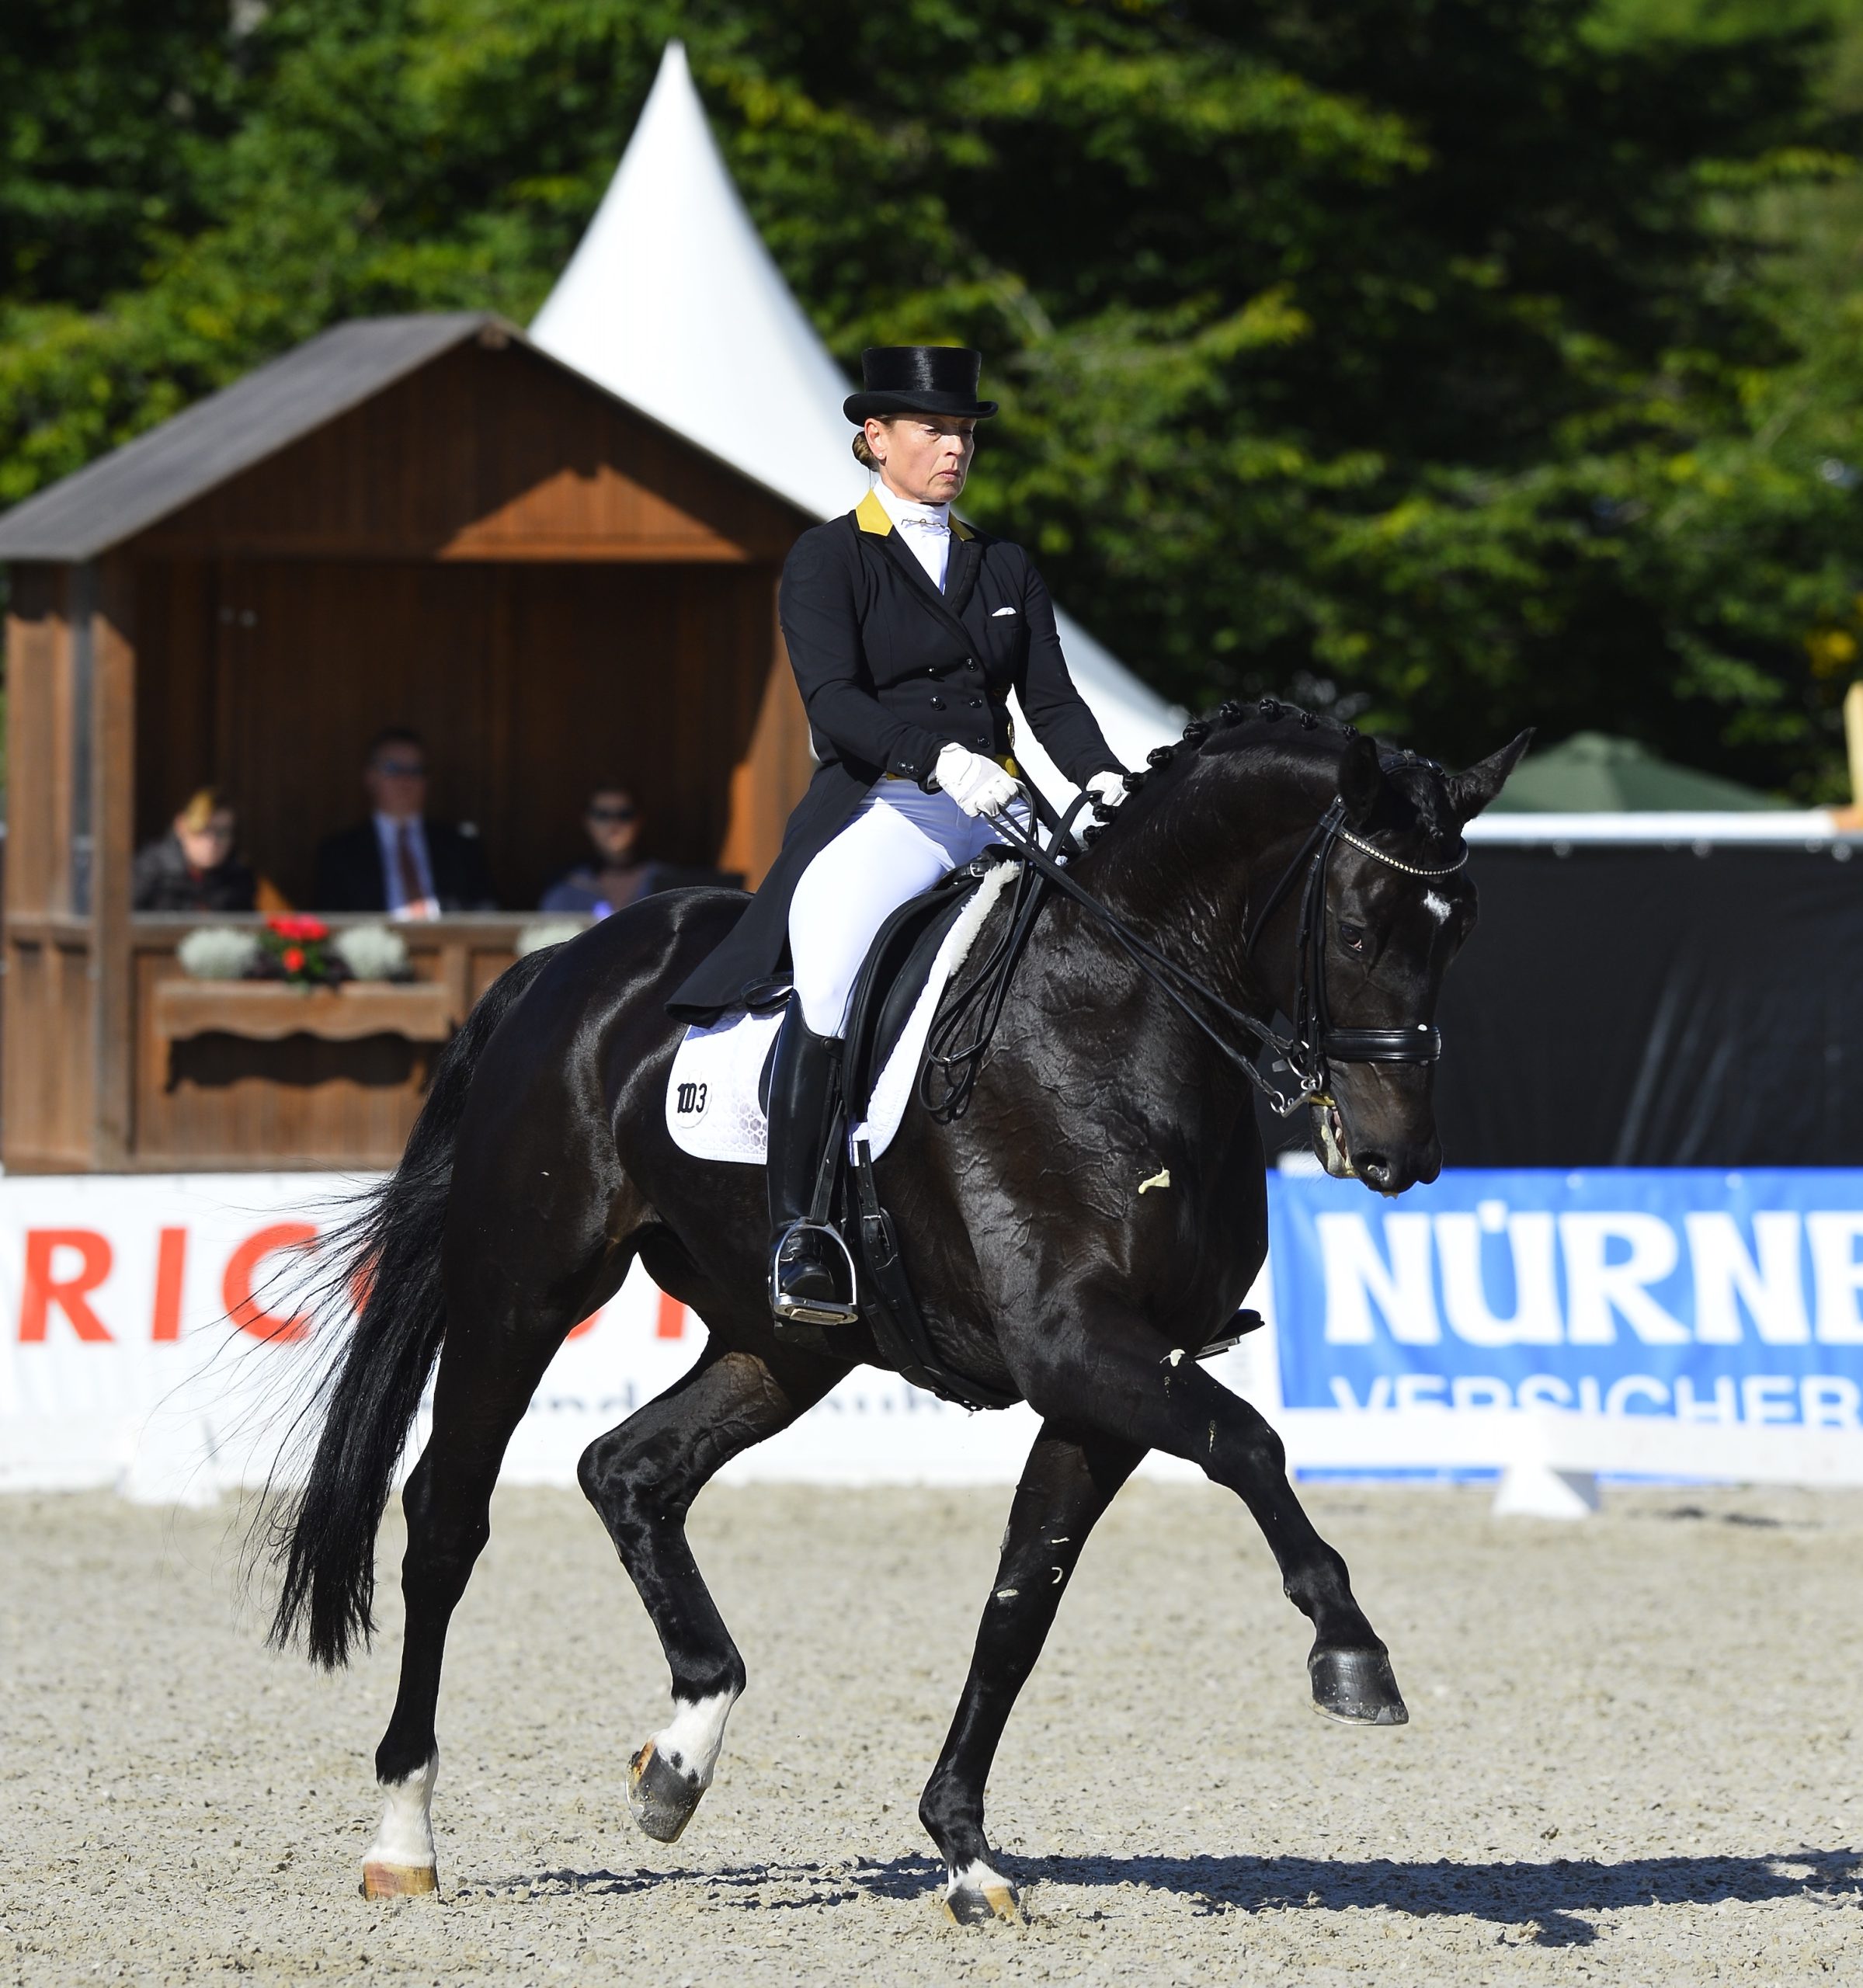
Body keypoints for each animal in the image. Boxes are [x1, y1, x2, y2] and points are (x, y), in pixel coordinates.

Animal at [268, 707, 1519, 1916]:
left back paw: (679, 1758)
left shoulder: (1107, 1386)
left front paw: (963, 1853)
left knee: (627, 1471)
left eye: (1458, 931)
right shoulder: (1076, 1348)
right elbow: (1249, 1443)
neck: (1109, 1015)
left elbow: (1021, 1601)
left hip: (779, 1343)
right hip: (521, 1289)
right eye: (1354, 930)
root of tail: (559, 968)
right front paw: (1350, 1652)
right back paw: (403, 1838)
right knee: (445, 1520)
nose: (1398, 1157)